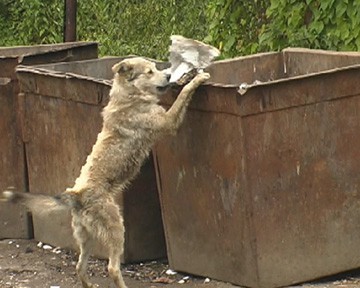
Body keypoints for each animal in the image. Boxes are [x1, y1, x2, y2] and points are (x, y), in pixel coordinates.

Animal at [1, 56, 210, 288]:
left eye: (156, 68)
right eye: (149, 72)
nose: (168, 75)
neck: (129, 96)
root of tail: (77, 195)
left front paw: (187, 76)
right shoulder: (169, 122)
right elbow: (183, 95)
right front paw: (197, 79)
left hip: (87, 238)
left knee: (79, 266)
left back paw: (89, 284)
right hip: (117, 228)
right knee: (112, 267)